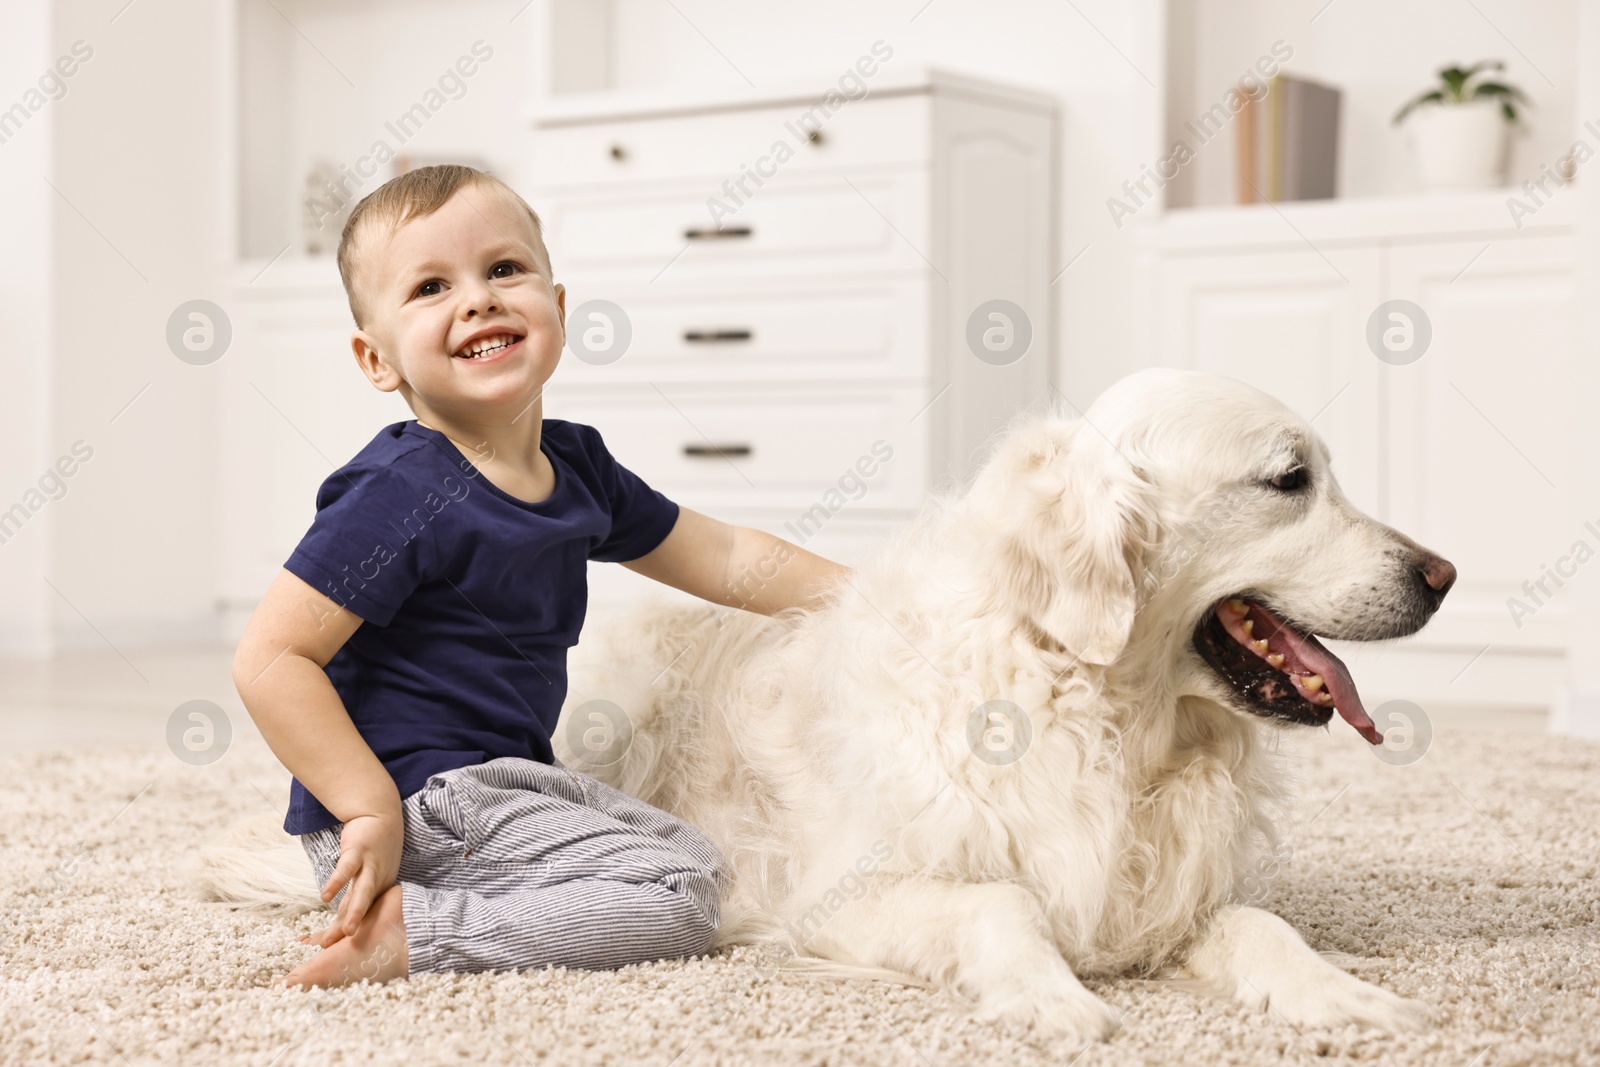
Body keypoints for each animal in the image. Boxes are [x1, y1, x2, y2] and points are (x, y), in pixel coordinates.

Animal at [556, 367, 1459, 1043]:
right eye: (1288, 479)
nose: (1445, 575)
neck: (1100, 711)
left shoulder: (1161, 897)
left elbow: (1260, 924)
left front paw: (1345, 993)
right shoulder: (836, 893)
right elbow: (1002, 899)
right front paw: (1053, 997)